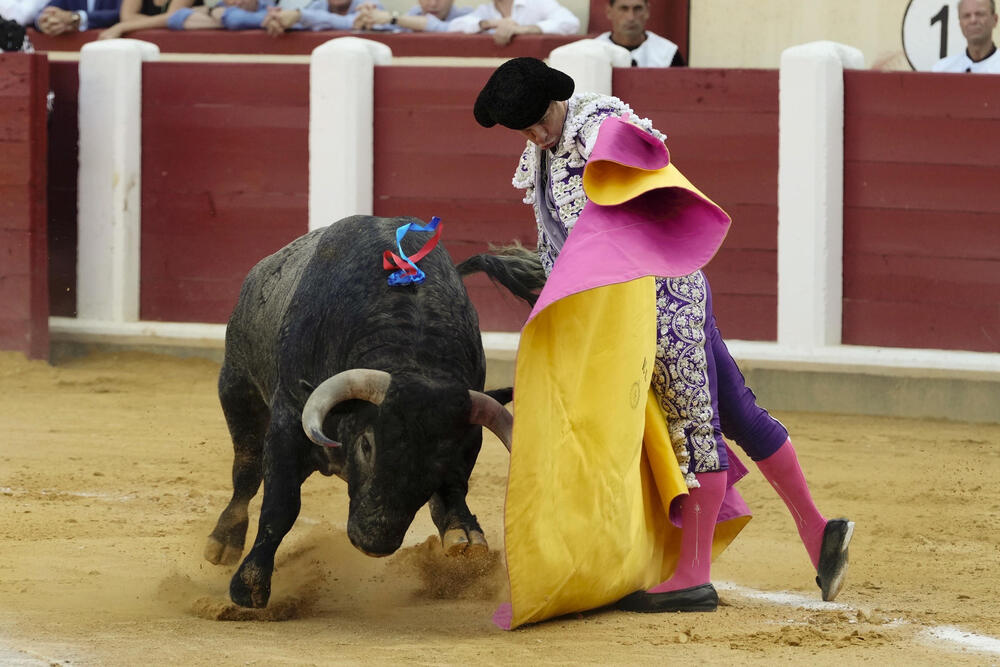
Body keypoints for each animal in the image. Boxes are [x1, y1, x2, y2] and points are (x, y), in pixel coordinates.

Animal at [203, 217, 516, 608]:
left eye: (442, 458)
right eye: (367, 445)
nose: (374, 540)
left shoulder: (468, 435)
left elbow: (454, 486)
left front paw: (464, 534)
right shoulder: (289, 418)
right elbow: (280, 504)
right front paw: (249, 585)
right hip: (237, 387)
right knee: (246, 471)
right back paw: (223, 542)